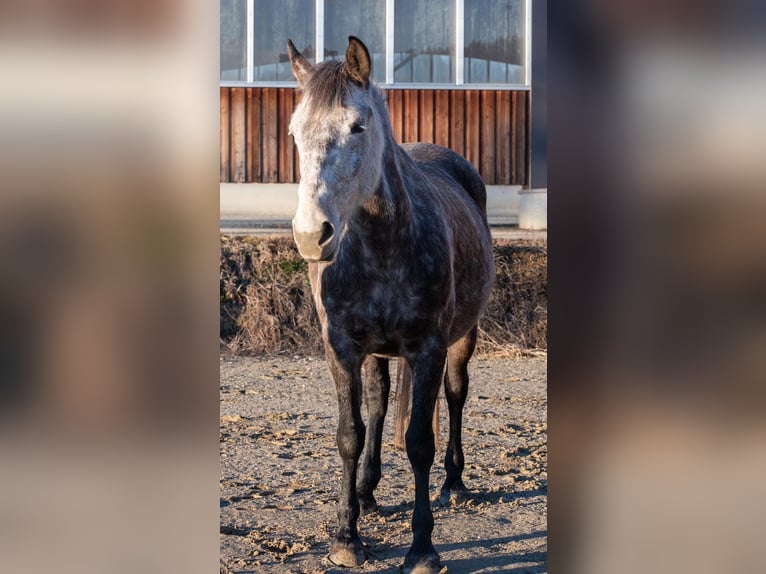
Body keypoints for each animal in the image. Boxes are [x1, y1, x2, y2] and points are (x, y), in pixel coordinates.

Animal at [290, 37, 498, 574]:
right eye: (295, 132)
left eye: (357, 127)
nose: (311, 235)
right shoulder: (341, 349)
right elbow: (351, 432)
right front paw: (347, 536)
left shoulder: (427, 350)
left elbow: (420, 442)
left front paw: (422, 547)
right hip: (378, 353)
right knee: (380, 404)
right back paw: (366, 493)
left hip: (462, 340)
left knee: (455, 396)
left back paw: (454, 484)